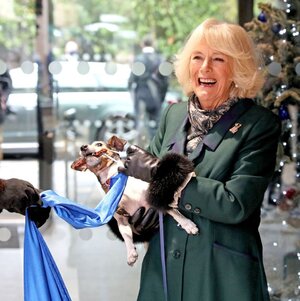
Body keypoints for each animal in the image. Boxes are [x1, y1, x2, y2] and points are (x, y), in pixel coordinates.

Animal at [70, 136, 197, 264]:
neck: (114, 178)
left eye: (99, 144)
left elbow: (171, 210)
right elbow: (126, 235)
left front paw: (187, 224)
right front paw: (131, 253)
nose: (83, 147)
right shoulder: (122, 219)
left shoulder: (155, 197)